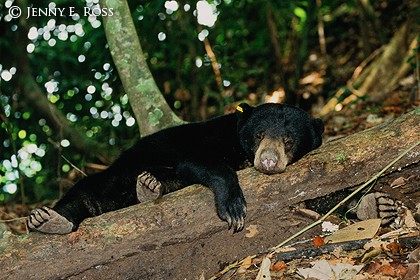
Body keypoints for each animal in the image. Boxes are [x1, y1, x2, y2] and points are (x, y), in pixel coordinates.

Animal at [27, 103, 324, 234]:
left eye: (288, 140)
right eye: (259, 134)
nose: (268, 161)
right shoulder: (208, 139)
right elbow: (198, 162)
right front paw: (234, 209)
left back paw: (148, 187)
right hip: (116, 175)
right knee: (85, 193)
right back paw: (47, 220)